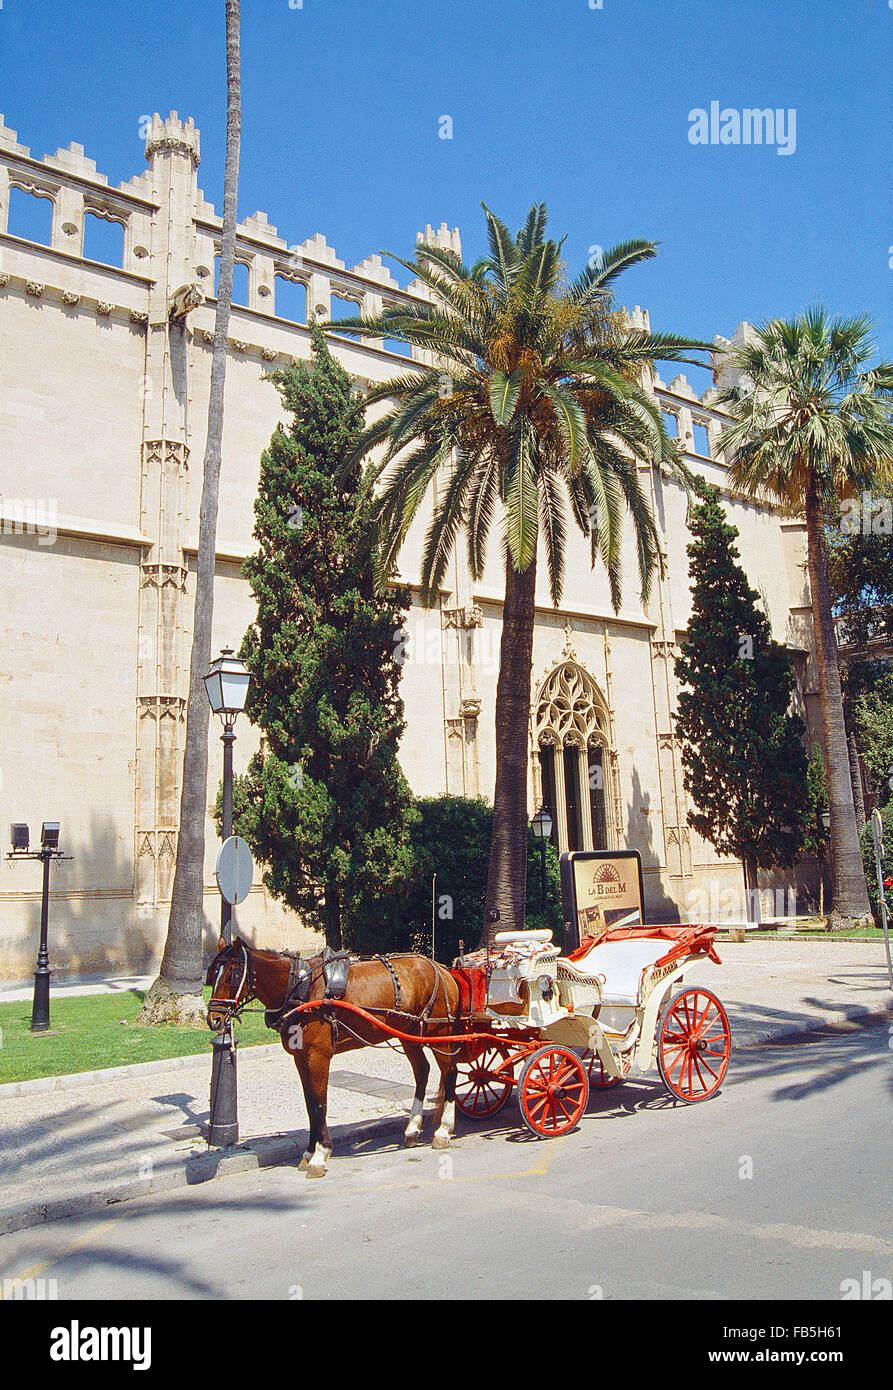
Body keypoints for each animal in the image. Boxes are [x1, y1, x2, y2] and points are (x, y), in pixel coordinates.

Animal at [204, 939, 459, 1178]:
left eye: (232, 975)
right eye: (213, 974)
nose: (214, 1019)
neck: (302, 990)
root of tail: (441, 969)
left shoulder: (318, 1056)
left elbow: (319, 1105)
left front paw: (320, 1154)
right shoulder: (301, 1058)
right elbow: (310, 1104)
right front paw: (309, 1152)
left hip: (438, 1032)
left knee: (449, 1072)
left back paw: (443, 1130)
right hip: (409, 1034)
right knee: (422, 1071)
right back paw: (412, 1129)